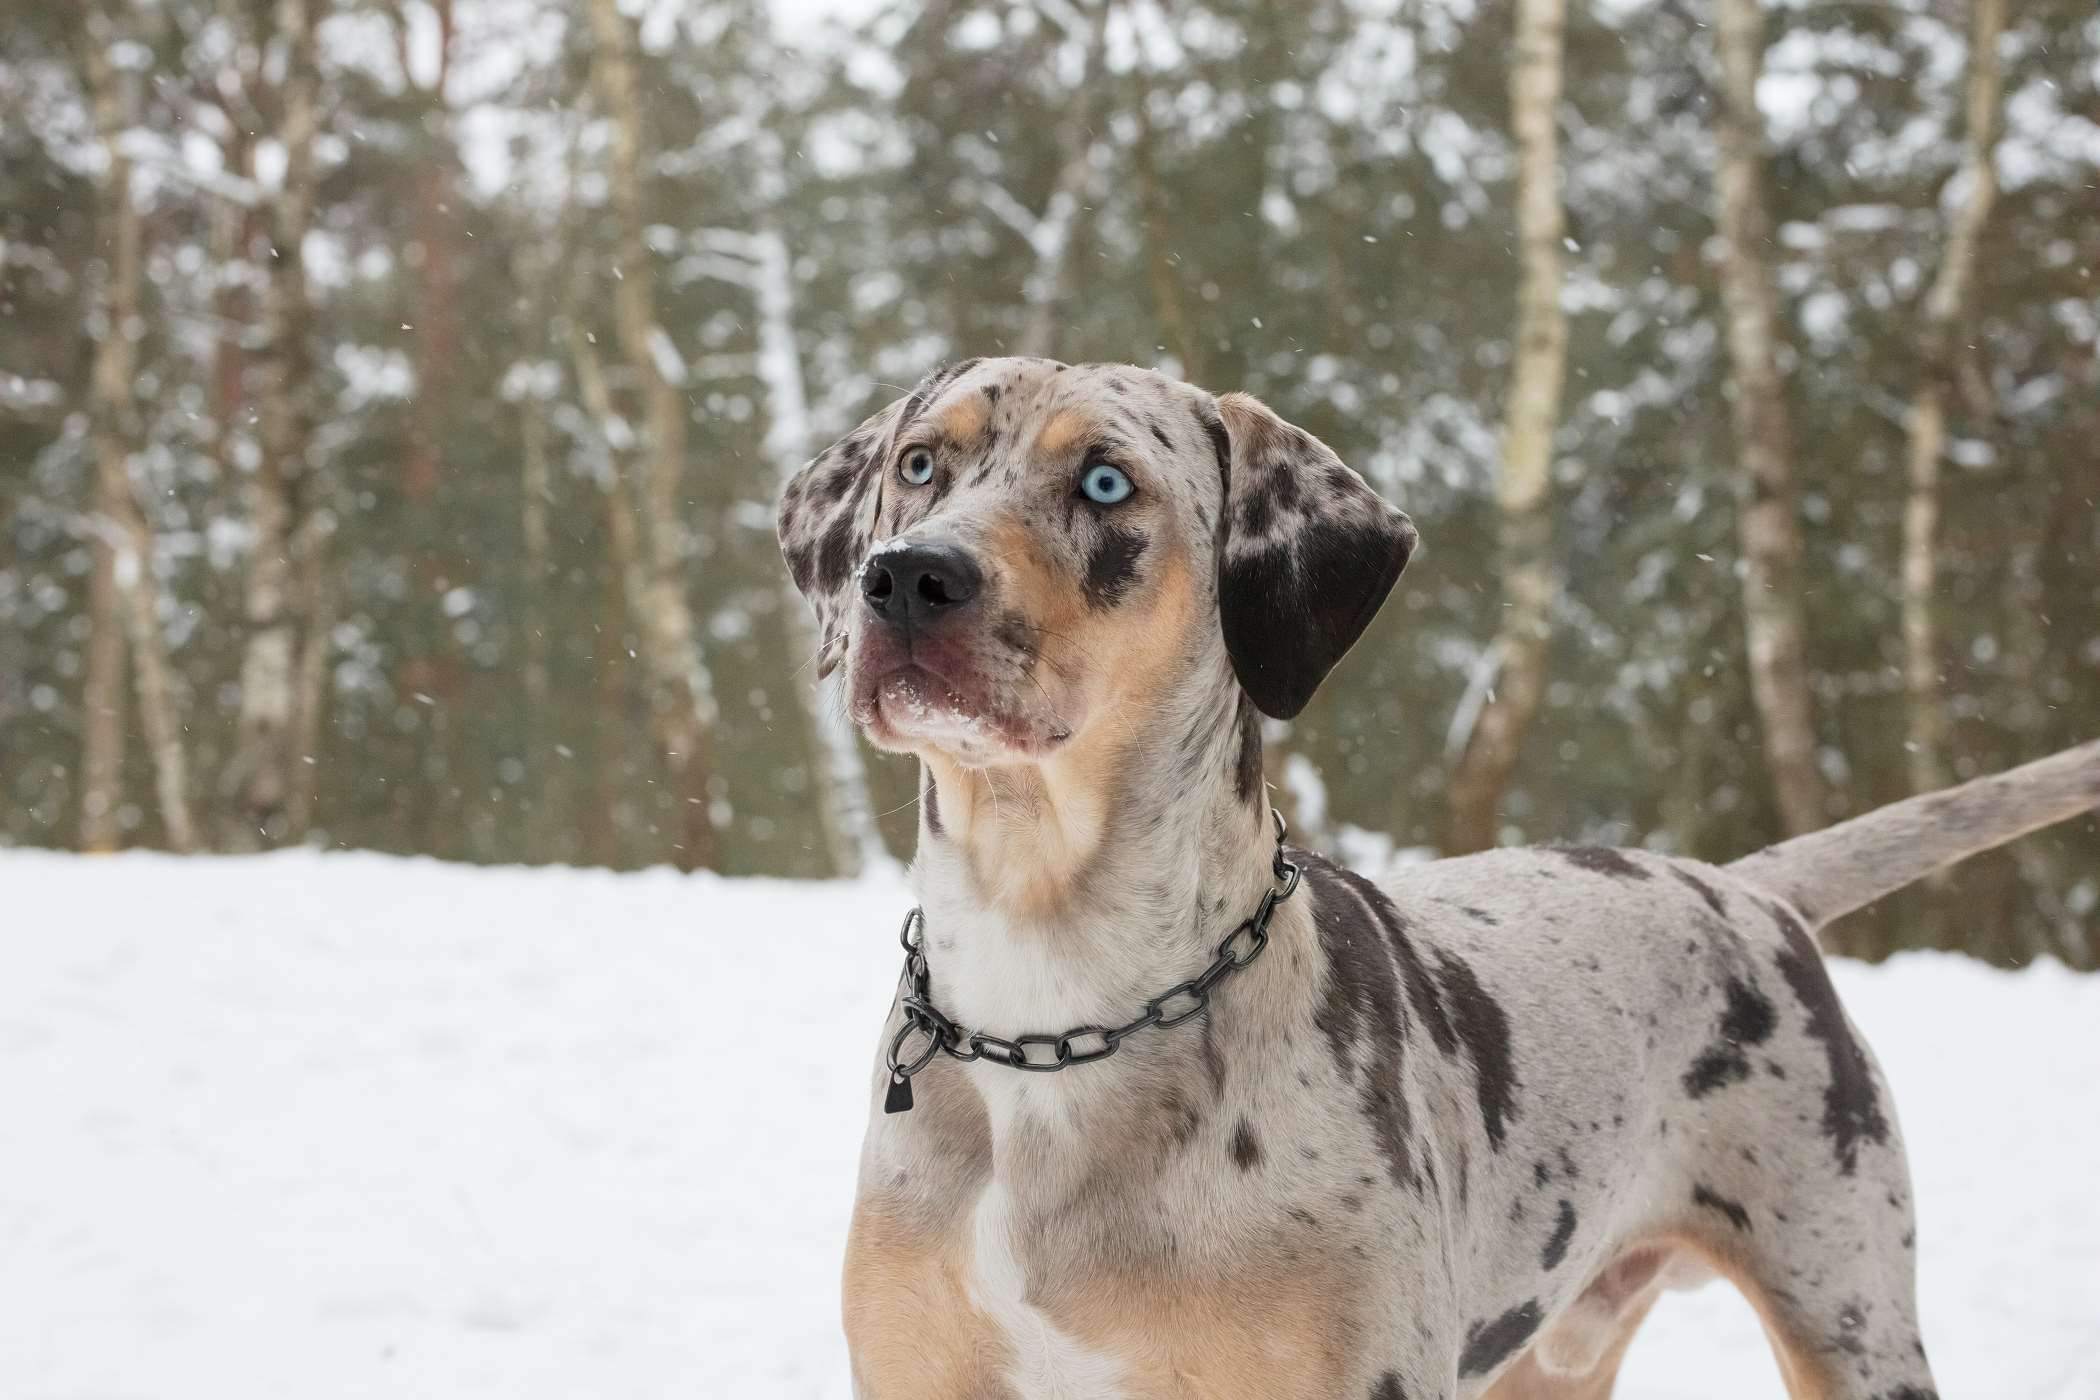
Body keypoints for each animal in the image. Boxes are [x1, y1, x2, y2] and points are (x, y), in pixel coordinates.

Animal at [776, 361, 2100, 1400]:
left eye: (1107, 482)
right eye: (919, 463)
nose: (906, 576)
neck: (1054, 999)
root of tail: (1746, 890)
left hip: (1847, 1304)